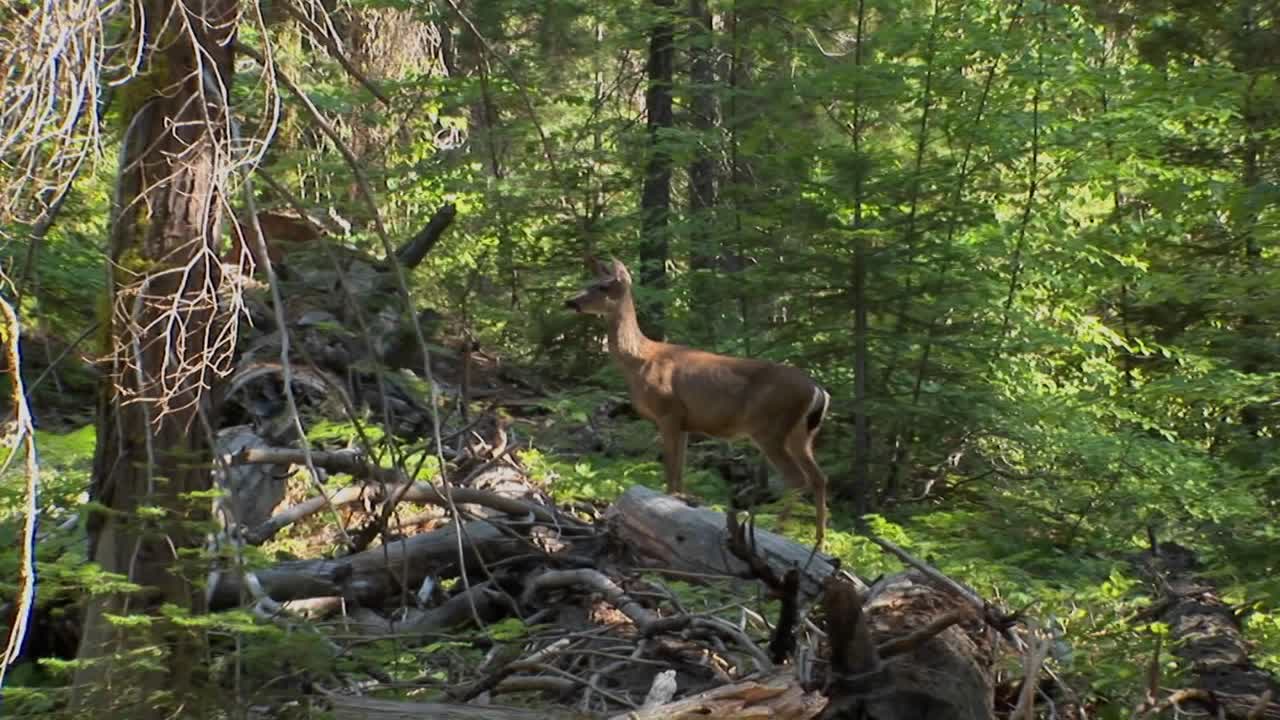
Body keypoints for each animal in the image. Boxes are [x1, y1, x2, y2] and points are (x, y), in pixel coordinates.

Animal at [565, 257, 831, 547]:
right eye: (589, 282)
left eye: (603, 286)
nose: (570, 302)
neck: (640, 360)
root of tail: (818, 390)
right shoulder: (684, 422)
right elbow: (679, 474)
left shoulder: (668, 411)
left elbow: (671, 471)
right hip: (801, 433)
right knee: (819, 477)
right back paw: (819, 542)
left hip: (770, 427)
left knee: (797, 479)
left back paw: (778, 531)